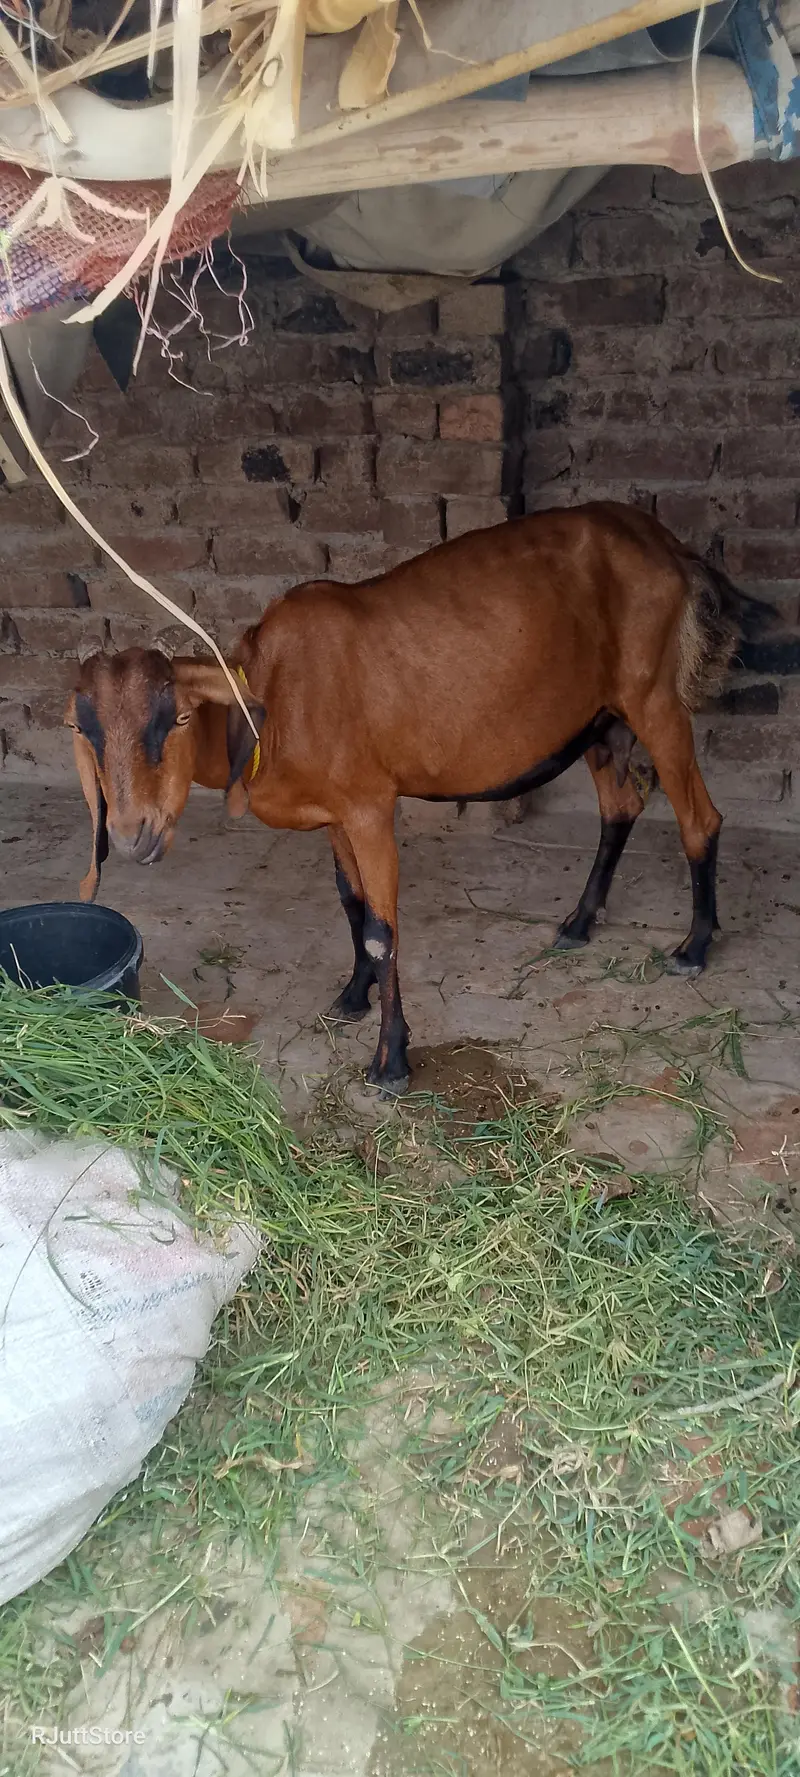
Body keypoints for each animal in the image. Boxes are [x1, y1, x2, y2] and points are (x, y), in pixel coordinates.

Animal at [66, 502, 773, 1095]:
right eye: (87, 731)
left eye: (180, 718)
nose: (132, 835)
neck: (276, 693)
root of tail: (667, 544)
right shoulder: (334, 813)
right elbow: (351, 904)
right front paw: (353, 997)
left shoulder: (370, 805)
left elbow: (383, 931)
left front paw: (391, 1063)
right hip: (599, 717)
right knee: (620, 805)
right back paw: (578, 923)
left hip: (653, 696)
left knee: (699, 816)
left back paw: (694, 947)